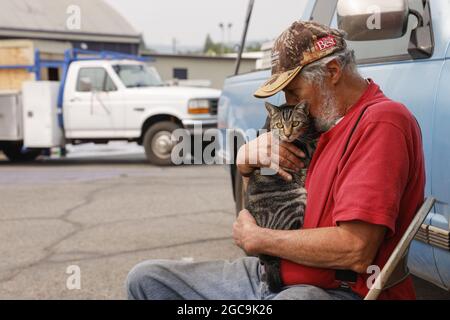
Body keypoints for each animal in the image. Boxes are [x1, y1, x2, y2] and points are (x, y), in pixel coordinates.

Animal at [244, 102, 318, 292]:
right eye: (279, 125)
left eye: (295, 123)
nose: (288, 133)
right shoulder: (304, 151)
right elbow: (314, 142)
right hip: (295, 200)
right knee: (290, 237)